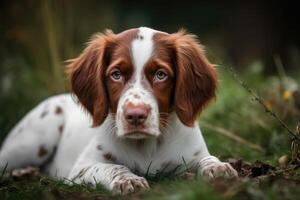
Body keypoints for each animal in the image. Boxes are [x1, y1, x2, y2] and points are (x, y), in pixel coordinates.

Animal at [0, 27, 237, 195]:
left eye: (161, 74)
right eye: (116, 74)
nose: (135, 115)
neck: (146, 145)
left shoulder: (191, 155)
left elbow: (208, 159)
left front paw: (219, 168)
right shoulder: (80, 169)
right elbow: (111, 167)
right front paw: (128, 179)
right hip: (35, 138)